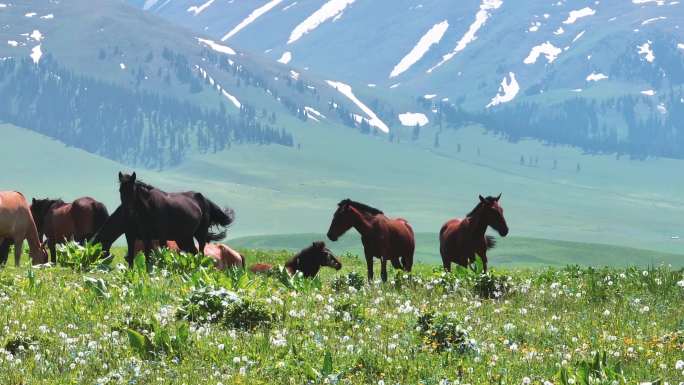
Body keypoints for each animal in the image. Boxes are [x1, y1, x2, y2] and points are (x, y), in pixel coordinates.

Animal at [93, 172, 235, 266]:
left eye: (132, 191)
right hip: (184, 238)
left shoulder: (160, 237)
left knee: (200, 252)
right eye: (120, 190)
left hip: (199, 235)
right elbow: (140, 257)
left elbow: (158, 256)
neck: (148, 208)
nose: (127, 211)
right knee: (193, 252)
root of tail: (204, 199)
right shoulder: (138, 236)